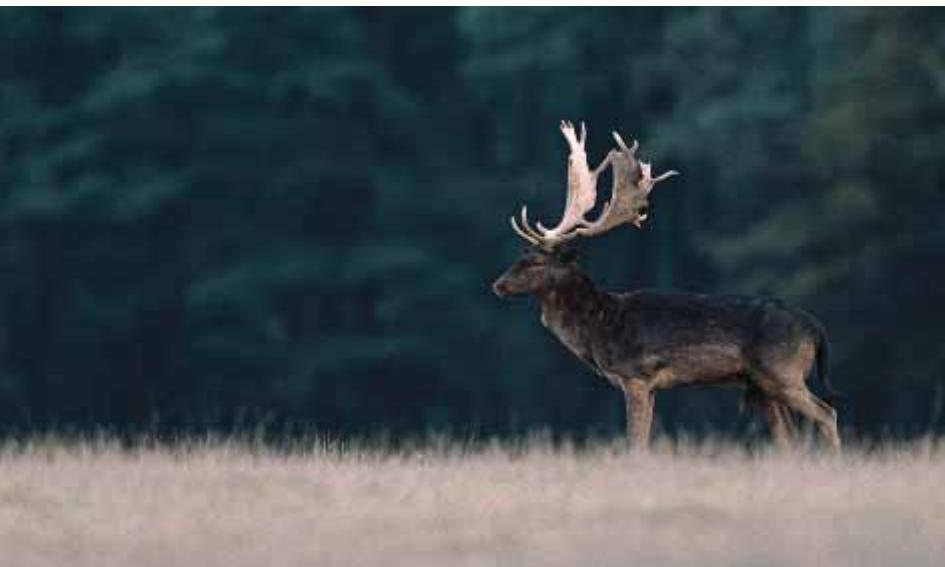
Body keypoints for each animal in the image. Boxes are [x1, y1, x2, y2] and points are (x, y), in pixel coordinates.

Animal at [492, 121, 841, 452]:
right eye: (520, 255)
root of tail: (818, 329)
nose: (498, 285)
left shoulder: (636, 375)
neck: (600, 327)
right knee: (788, 437)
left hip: (783, 371)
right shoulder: (649, 385)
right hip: (761, 384)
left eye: (534, 261)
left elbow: (635, 443)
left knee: (827, 412)